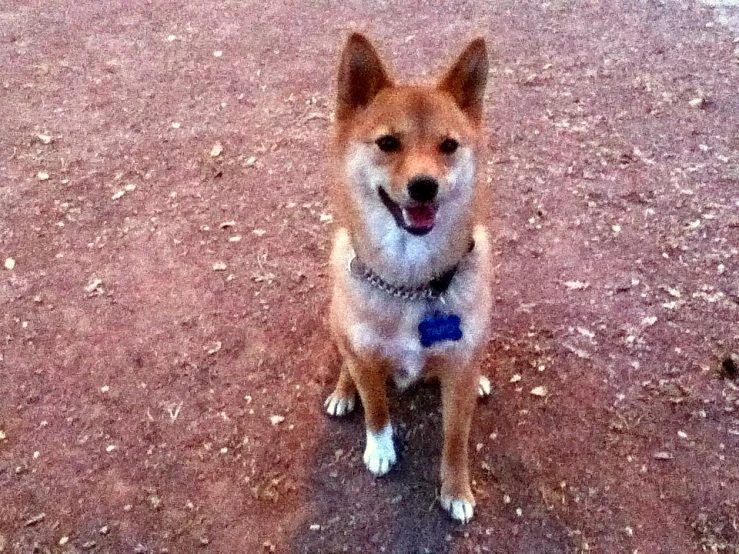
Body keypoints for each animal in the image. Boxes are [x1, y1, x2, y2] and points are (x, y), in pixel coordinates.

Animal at [324, 33, 492, 520]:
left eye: (449, 146)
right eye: (388, 143)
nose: (423, 186)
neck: (411, 283)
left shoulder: (458, 376)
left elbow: (456, 439)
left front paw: (456, 490)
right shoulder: (365, 358)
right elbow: (377, 409)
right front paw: (380, 449)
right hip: (337, 323)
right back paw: (343, 391)